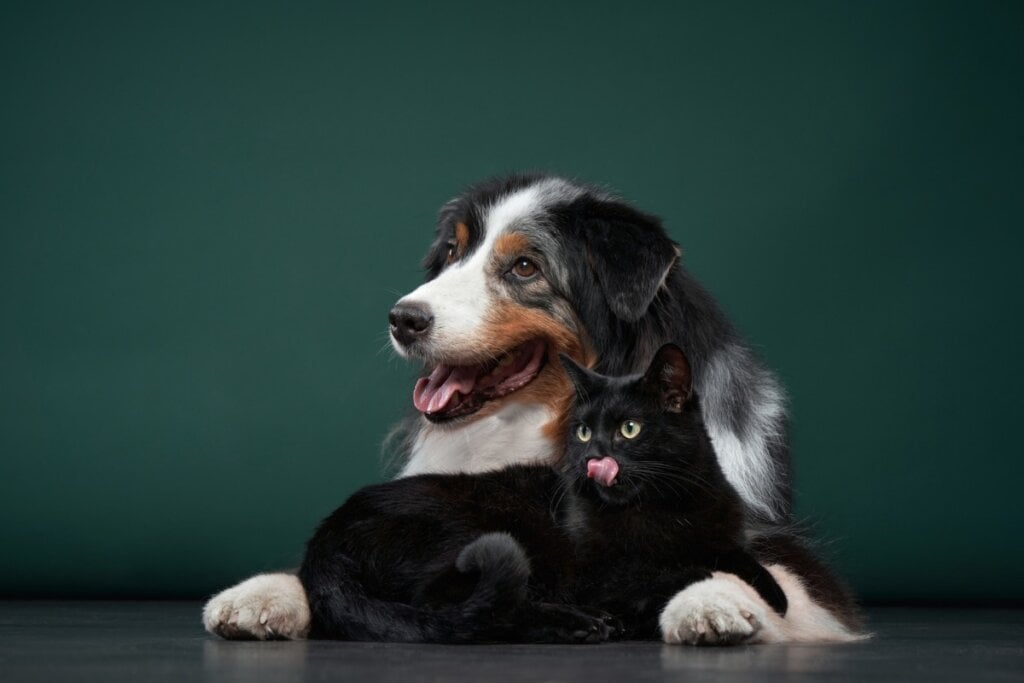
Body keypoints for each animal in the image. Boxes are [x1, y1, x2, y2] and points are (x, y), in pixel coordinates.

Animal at [299, 344, 786, 643]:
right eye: (584, 431)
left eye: (629, 429)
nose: (593, 457)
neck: (664, 507)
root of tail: (322, 542)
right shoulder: (597, 575)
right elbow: (677, 570)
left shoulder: (721, 533)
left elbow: (740, 557)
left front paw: (775, 597)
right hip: (473, 530)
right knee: (460, 610)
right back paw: (581, 624)